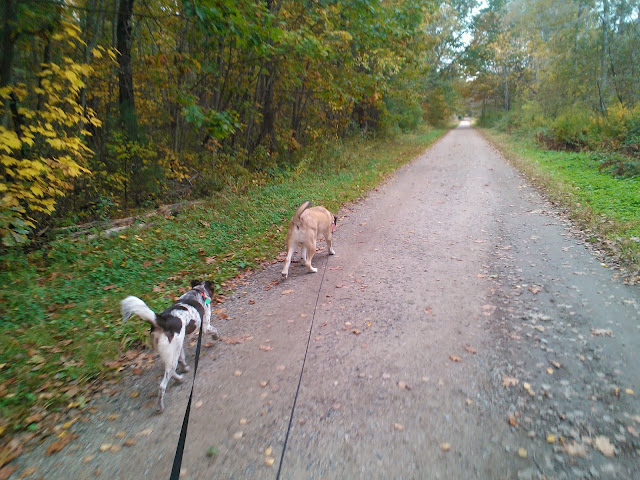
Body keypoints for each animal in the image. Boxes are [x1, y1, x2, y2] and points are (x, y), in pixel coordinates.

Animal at [120, 280, 219, 412]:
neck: (198, 292)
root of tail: (162, 322)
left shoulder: (179, 345)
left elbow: (182, 357)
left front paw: (185, 367)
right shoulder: (205, 326)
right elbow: (214, 330)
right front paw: (216, 337)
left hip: (169, 352)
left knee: (170, 372)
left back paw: (179, 378)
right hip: (171, 355)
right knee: (162, 385)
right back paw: (160, 406)